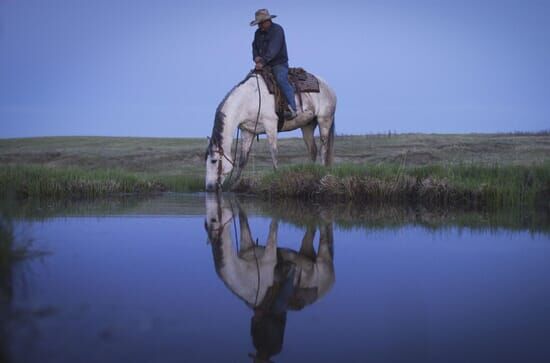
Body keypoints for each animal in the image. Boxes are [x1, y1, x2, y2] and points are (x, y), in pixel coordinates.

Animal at [206, 69, 338, 192]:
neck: (249, 99)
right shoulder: (248, 131)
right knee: (313, 150)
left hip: (324, 120)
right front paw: (235, 184)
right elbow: (243, 160)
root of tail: (328, 86)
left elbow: (274, 153)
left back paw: (322, 171)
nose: (209, 187)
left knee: (323, 149)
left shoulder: (270, 125)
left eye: (213, 161)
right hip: (307, 125)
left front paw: (276, 177)